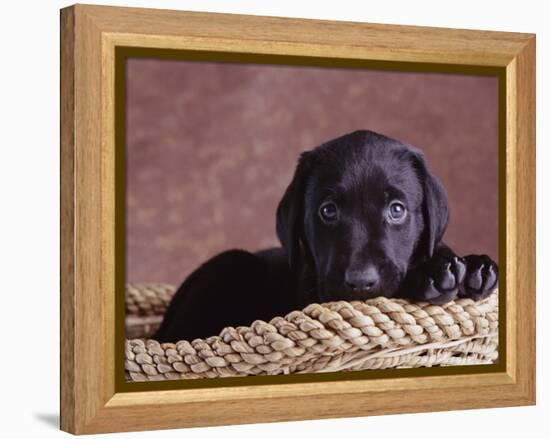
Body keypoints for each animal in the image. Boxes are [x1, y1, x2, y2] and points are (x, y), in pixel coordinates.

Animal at [155, 131, 500, 344]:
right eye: (328, 210)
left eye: (397, 209)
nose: (361, 282)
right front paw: (436, 273)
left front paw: (472, 267)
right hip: (230, 263)